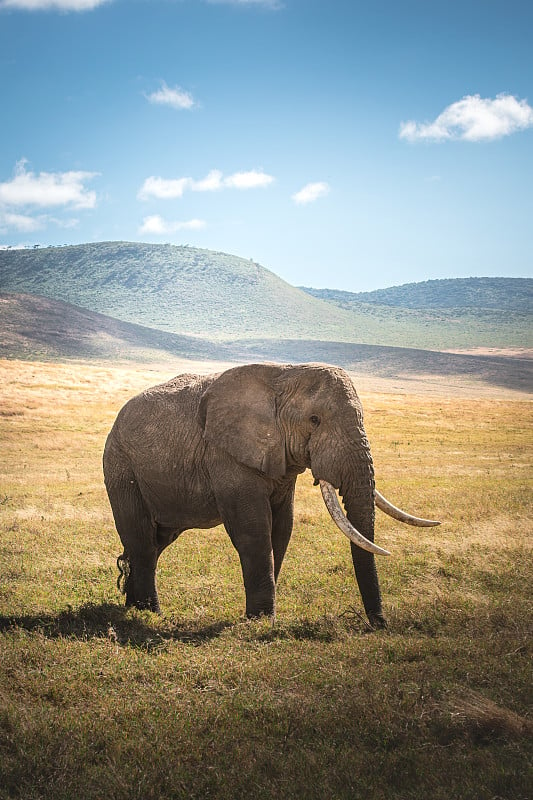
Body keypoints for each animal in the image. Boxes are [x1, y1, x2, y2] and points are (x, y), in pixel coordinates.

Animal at [103, 364, 436, 632]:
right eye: (314, 420)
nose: (379, 624)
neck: (283, 374)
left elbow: (282, 528)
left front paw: (261, 618)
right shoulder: (226, 456)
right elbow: (254, 531)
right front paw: (262, 621)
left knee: (156, 541)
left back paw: (133, 606)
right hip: (120, 466)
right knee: (143, 540)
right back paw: (149, 614)